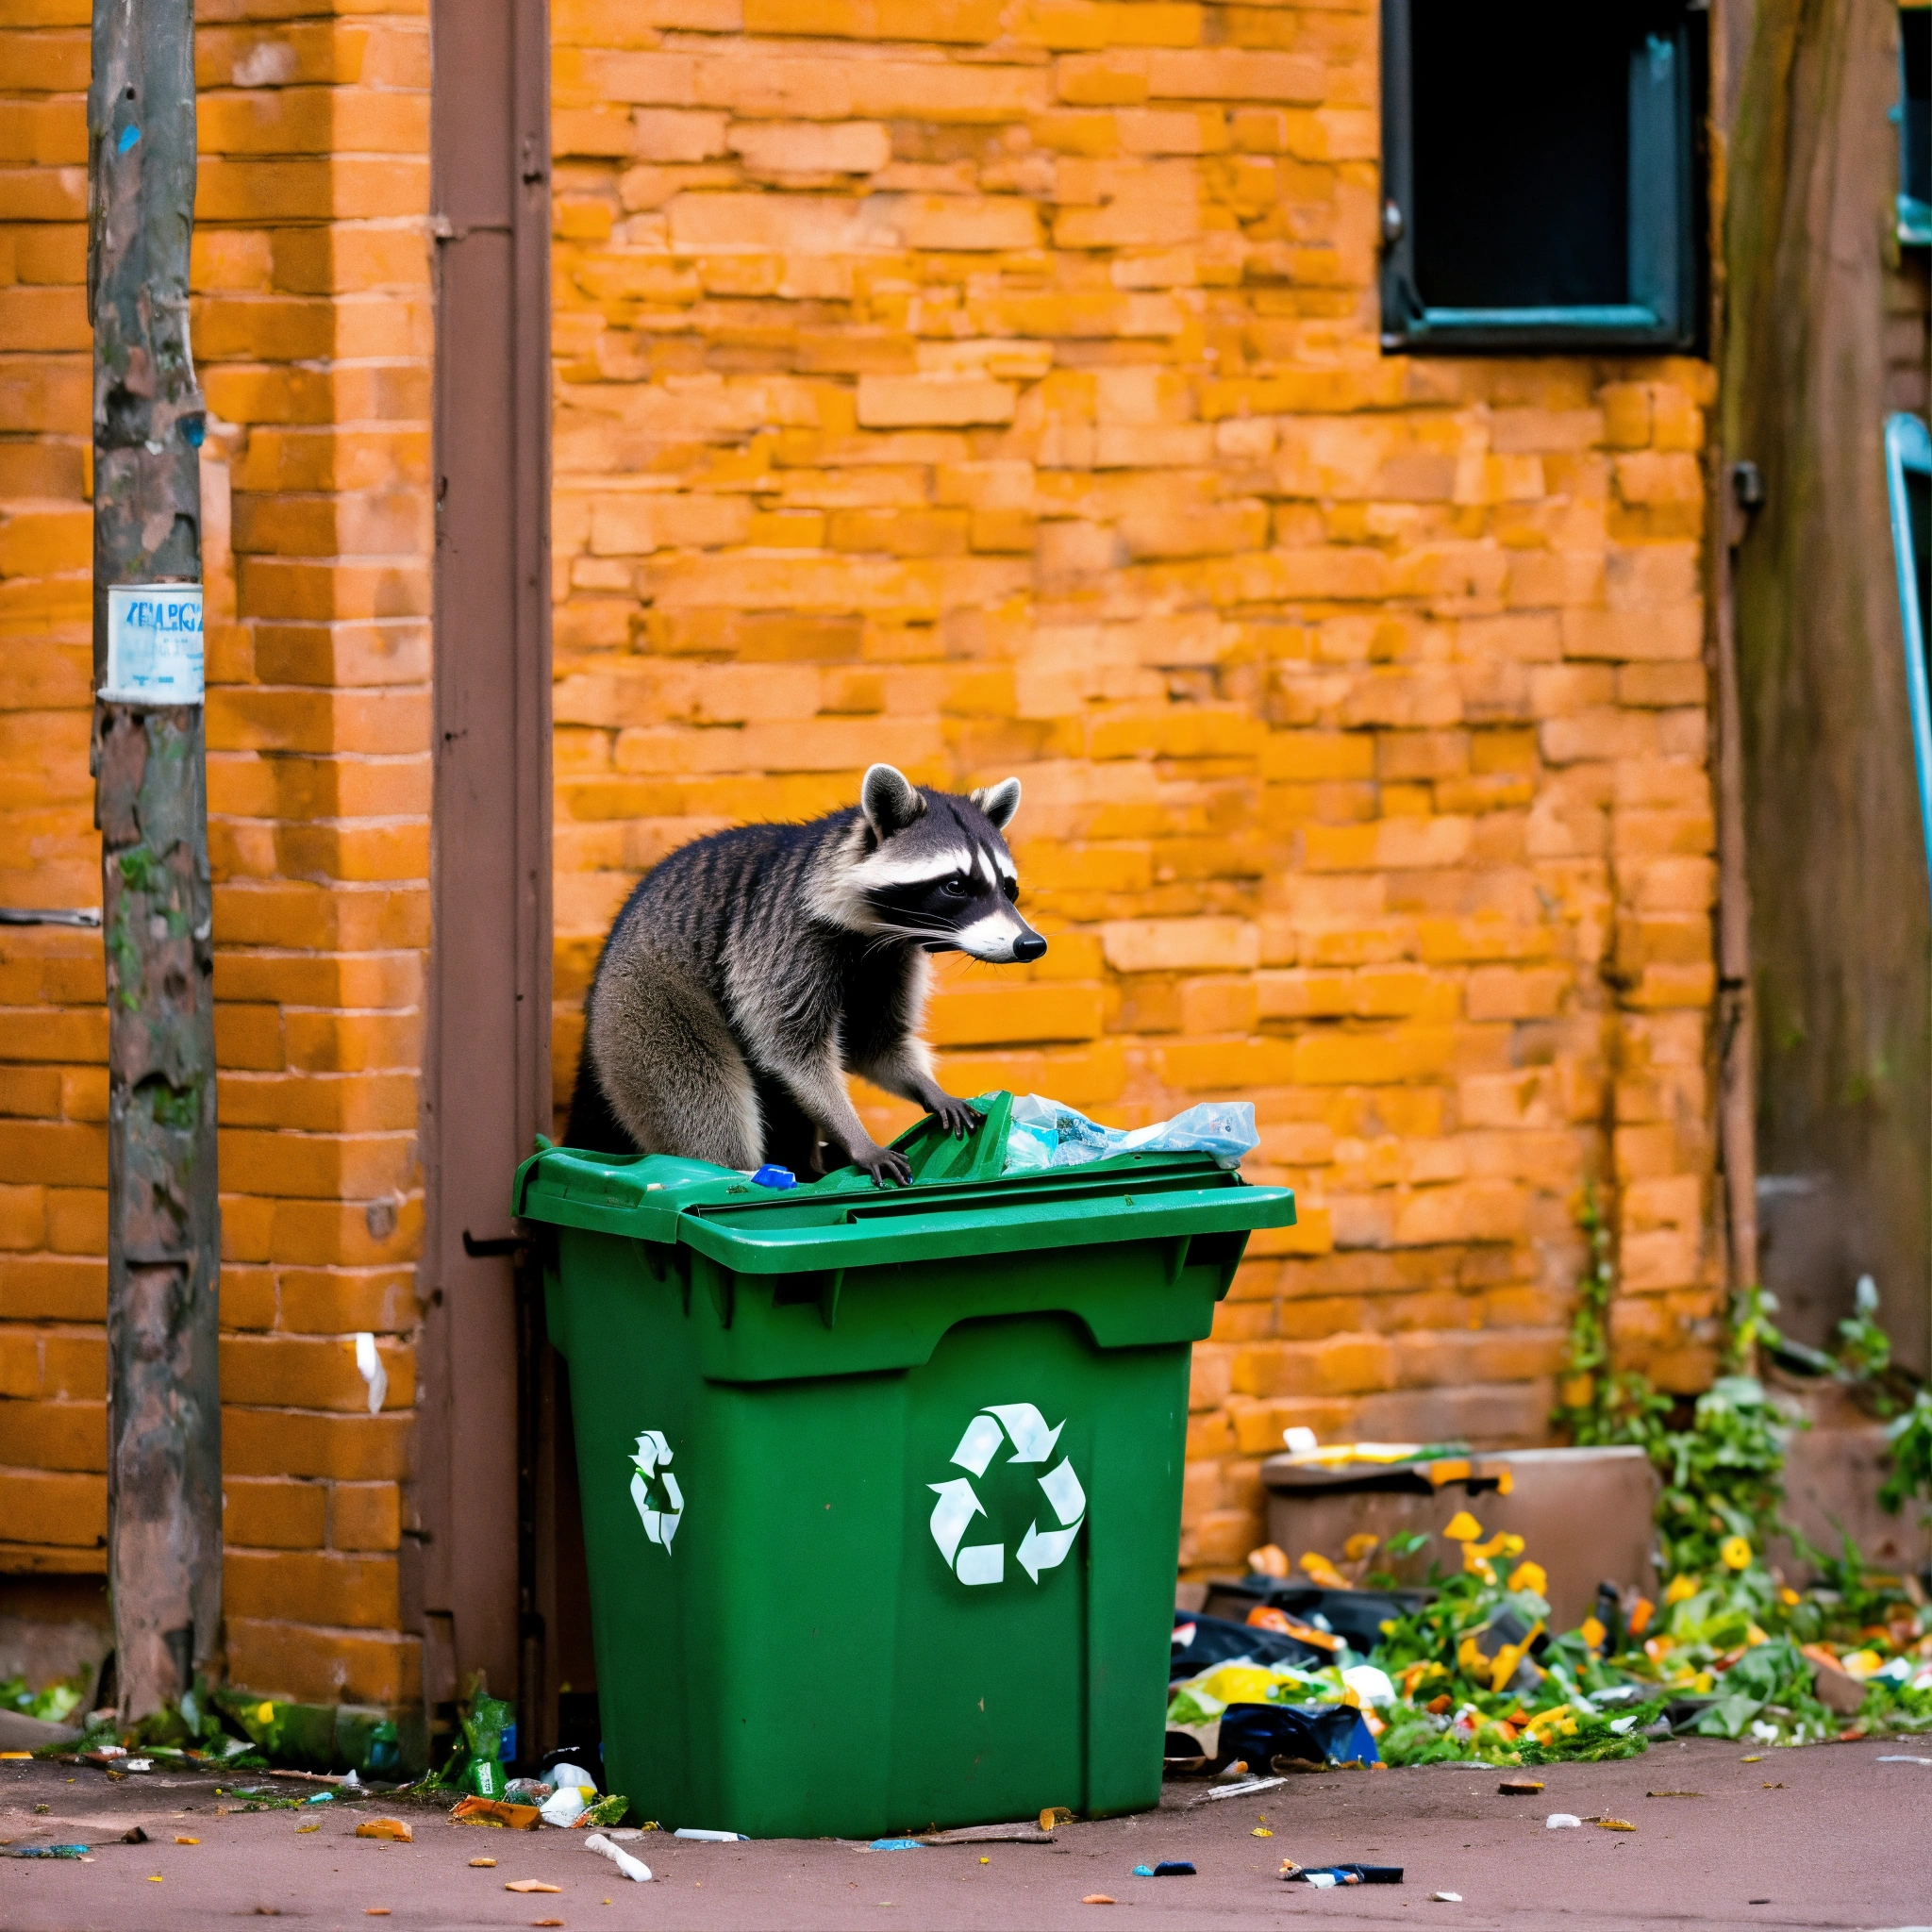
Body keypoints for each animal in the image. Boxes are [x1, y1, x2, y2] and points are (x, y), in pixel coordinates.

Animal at [565, 764, 1046, 1185]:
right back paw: (738, 1171)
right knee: (704, 1103)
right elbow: (791, 1049)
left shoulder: (890, 960)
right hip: (643, 1008)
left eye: (1010, 889)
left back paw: (807, 1165)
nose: (1031, 945)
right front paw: (855, 1135)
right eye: (955, 886)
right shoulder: (780, 938)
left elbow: (874, 1041)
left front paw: (927, 1087)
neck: (877, 929)